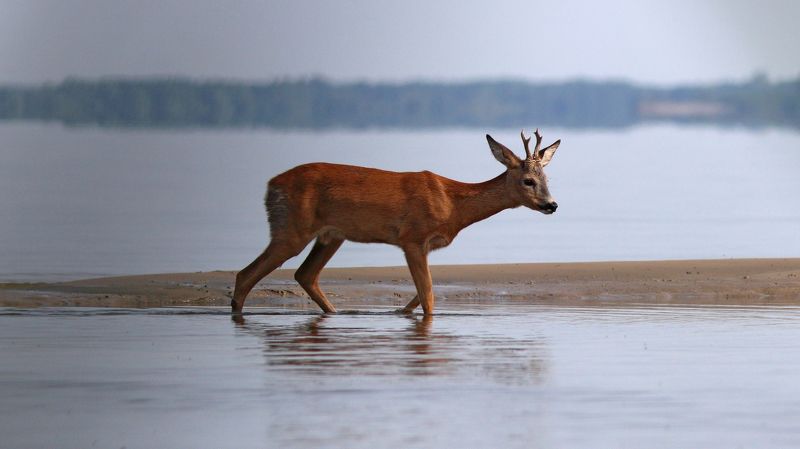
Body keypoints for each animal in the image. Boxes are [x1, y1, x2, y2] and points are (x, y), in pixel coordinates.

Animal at [232, 129, 561, 315]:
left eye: (547, 178)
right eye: (528, 180)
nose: (551, 204)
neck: (454, 205)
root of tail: (270, 185)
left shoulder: (423, 246)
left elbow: (421, 294)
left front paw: (399, 312)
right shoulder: (412, 237)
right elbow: (428, 297)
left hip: (331, 235)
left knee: (305, 274)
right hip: (291, 229)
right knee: (245, 275)